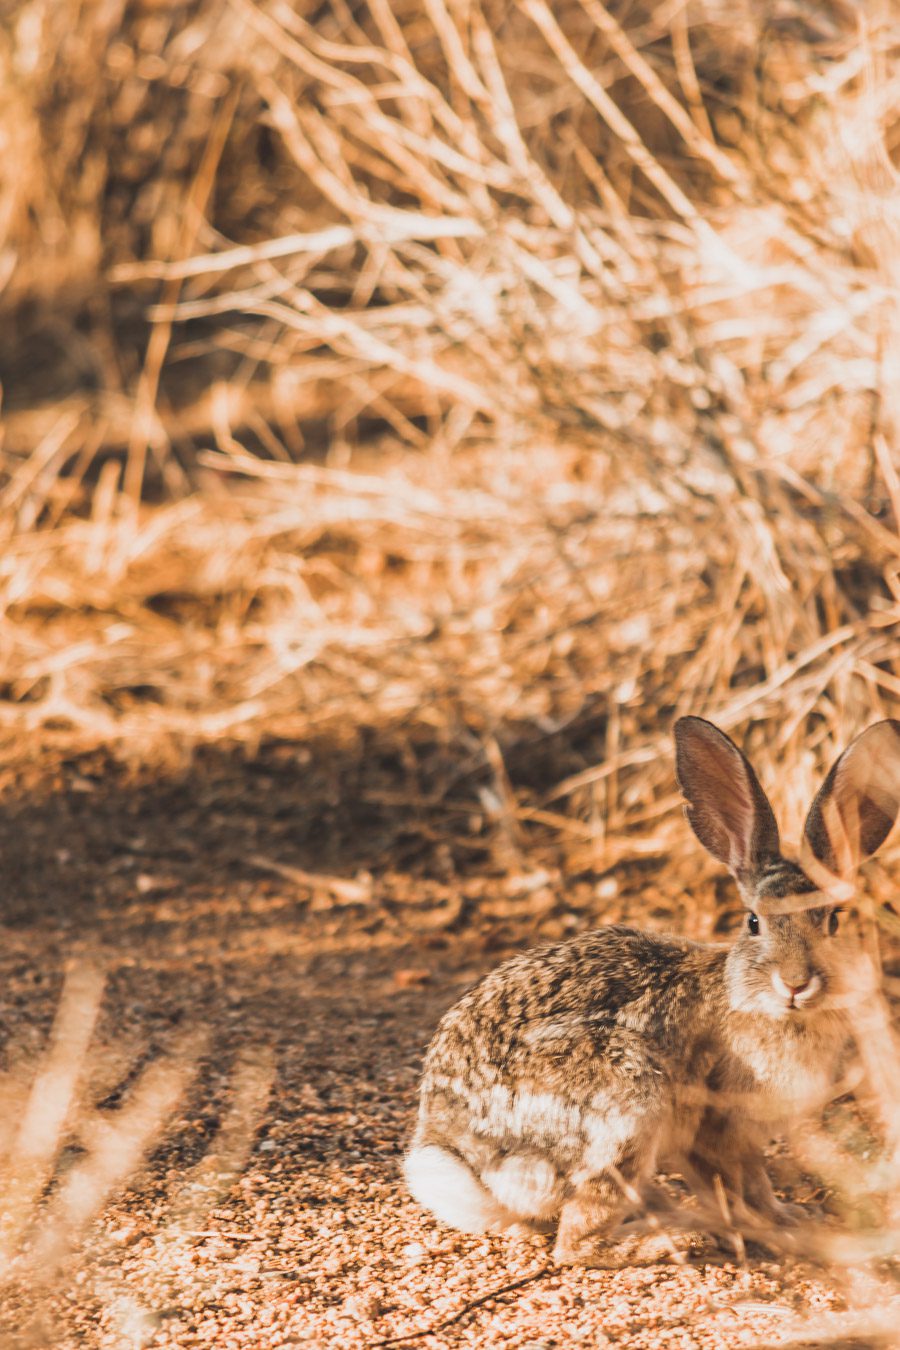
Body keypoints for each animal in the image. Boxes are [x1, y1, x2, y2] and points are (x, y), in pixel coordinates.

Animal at [407, 718, 900, 1263]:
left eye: (833, 920)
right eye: (753, 922)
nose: (795, 983)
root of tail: (463, 1157)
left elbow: (754, 1184)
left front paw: (789, 1218)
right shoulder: (716, 1129)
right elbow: (739, 1186)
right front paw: (776, 1231)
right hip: (628, 1106)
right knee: (575, 1240)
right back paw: (676, 1238)